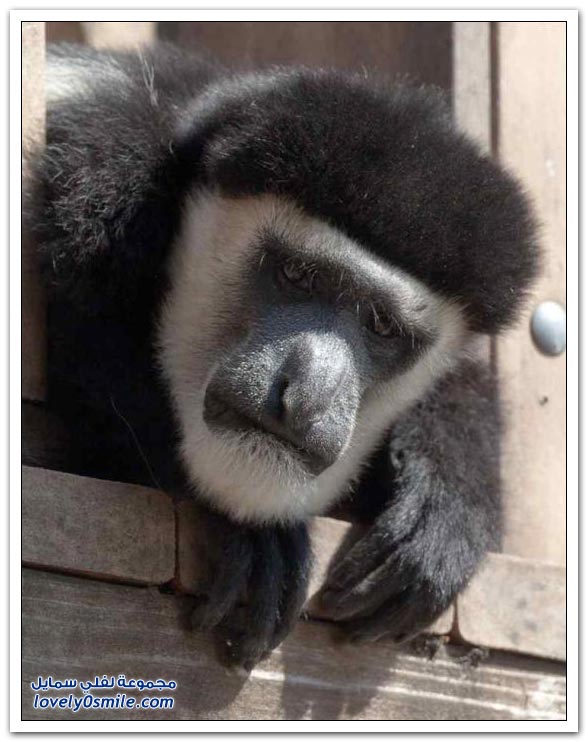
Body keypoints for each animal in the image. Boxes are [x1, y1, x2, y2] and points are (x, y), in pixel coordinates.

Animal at [25, 42, 539, 671]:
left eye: (381, 325)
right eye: (296, 274)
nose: (305, 395)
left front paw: (447, 496)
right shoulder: (102, 172)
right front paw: (256, 537)